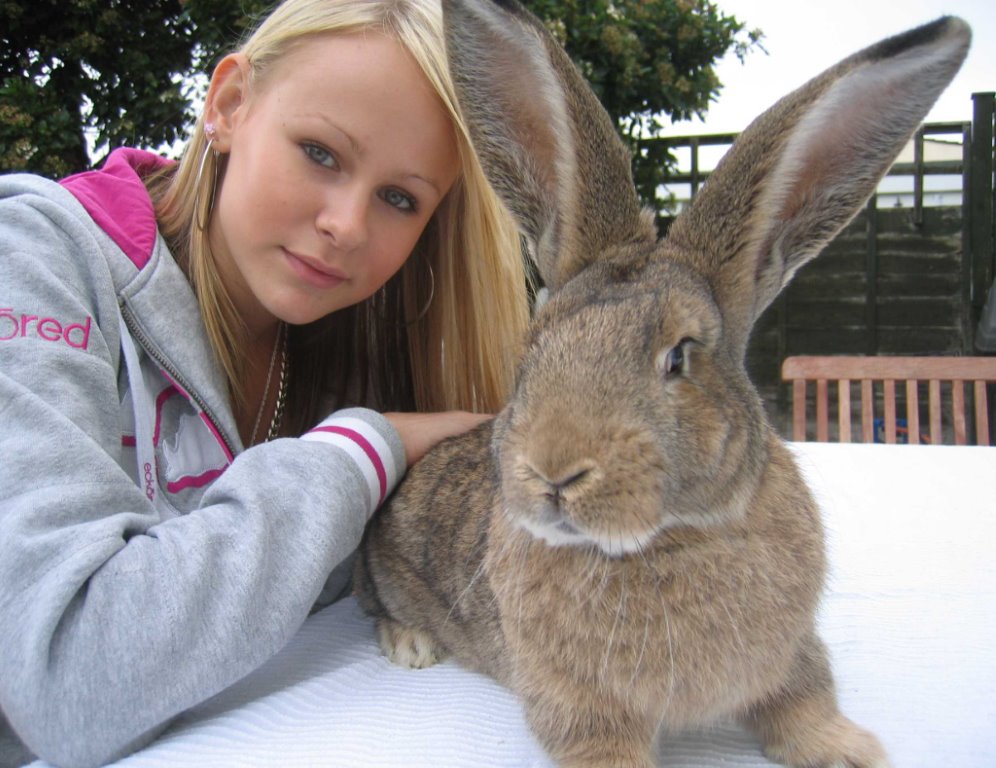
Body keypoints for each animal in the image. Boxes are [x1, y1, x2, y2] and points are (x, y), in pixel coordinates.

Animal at [354, 1, 970, 766]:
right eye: (535, 345)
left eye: (679, 357)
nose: (553, 470)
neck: (671, 538)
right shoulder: (583, 710)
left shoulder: (792, 657)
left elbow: (806, 699)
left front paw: (851, 751)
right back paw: (412, 643)